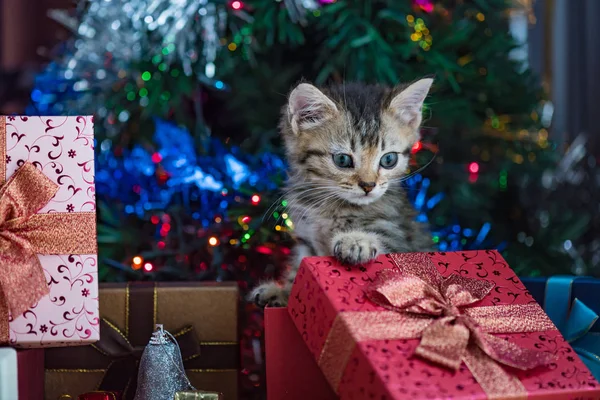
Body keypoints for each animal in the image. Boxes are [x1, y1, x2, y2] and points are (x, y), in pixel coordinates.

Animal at [251, 79, 434, 308]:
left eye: (389, 159)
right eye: (342, 160)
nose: (368, 185)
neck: (331, 206)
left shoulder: (399, 235)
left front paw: (357, 241)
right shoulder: (307, 241)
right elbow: (299, 270)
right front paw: (283, 292)